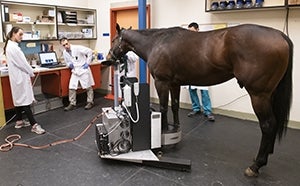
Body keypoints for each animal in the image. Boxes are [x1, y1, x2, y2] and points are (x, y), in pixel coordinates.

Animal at [105, 24, 292, 177]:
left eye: (114, 39)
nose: (109, 57)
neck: (157, 42)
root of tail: (279, 35)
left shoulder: (162, 82)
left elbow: (164, 107)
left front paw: (163, 134)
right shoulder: (174, 83)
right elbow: (174, 106)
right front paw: (174, 129)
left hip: (259, 95)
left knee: (268, 125)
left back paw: (256, 165)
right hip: (269, 95)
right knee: (273, 124)